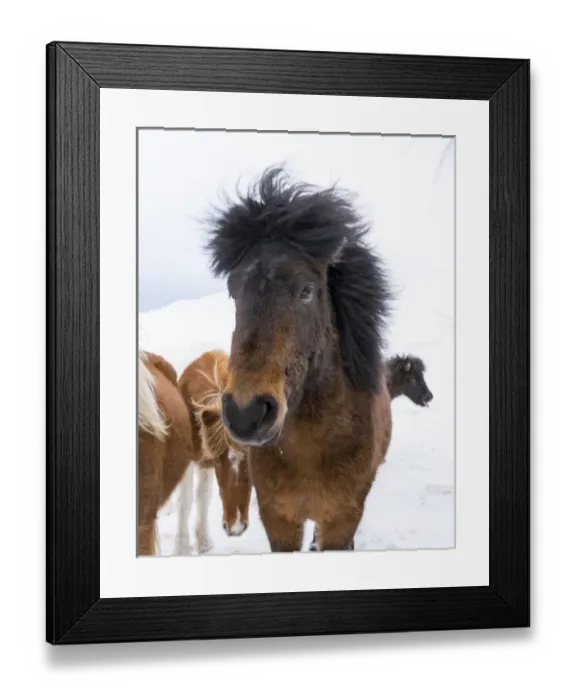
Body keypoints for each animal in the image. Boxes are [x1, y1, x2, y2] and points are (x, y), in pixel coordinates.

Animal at [173, 349, 251, 555]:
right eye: (218, 460)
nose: (236, 528)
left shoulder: (205, 464)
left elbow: (203, 497)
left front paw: (203, 543)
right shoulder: (192, 461)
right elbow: (185, 502)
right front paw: (181, 547)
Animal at [204, 167, 394, 552]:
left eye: (306, 291)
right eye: (234, 291)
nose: (246, 413)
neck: (310, 454)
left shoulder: (342, 522)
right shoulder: (278, 520)